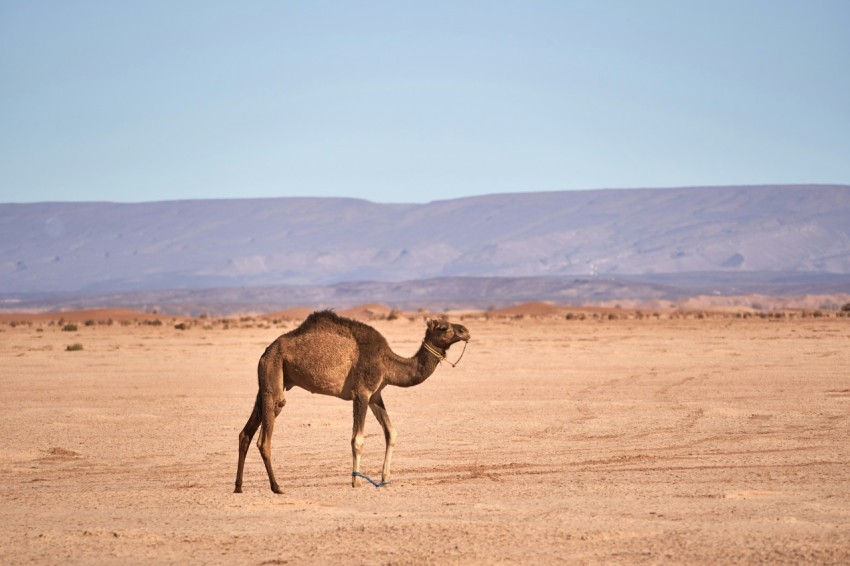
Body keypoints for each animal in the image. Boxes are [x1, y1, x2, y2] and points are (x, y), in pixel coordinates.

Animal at [234, 312, 470, 494]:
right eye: (443, 327)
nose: (465, 331)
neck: (387, 362)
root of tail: (267, 351)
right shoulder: (362, 393)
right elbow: (357, 440)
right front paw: (356, 480)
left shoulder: (376, 395)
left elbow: (391, 433)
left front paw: (385, 479)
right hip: (273, 373)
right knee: (264, 438)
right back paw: (276, 487)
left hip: (266, 381)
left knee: (246, 433)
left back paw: (238, 486)